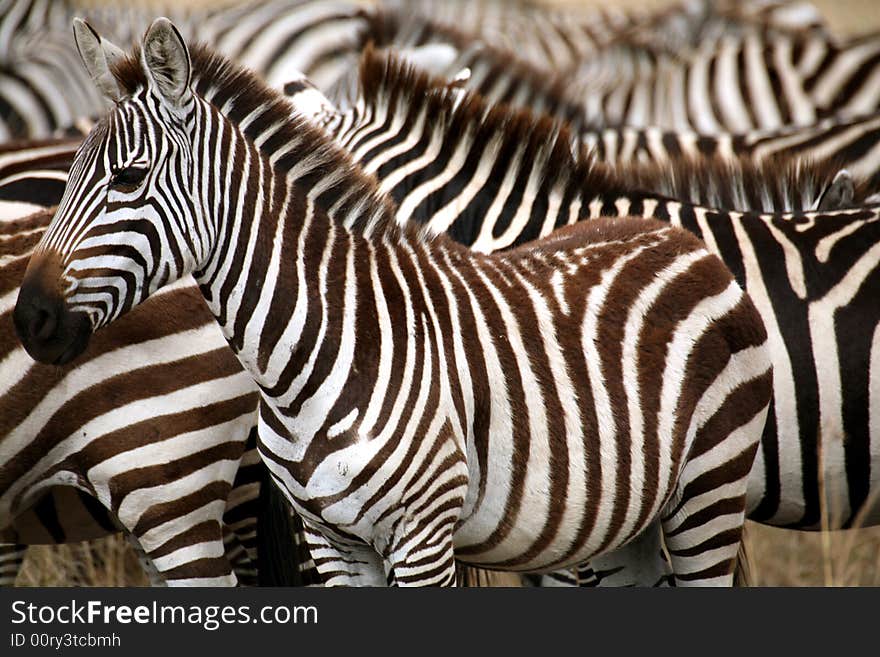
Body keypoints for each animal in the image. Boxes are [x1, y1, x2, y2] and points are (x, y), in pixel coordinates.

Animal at [12, 19, 768, 584]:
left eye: (128, 177)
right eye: (66, 172)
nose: (29, 318)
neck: (311, 352)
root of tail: (674, 230)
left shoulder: (423, 535)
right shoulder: (332, 542)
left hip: (709, 489)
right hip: (626, 518)